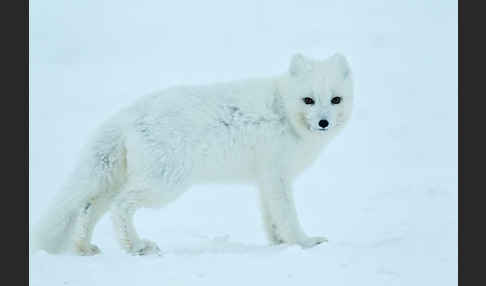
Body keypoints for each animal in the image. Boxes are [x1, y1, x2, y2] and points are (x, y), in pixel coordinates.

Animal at [32, 53, 356, 255]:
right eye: (308, 100)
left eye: (336, 100)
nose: (323, 123)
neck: (284, 112)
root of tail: (129, 113)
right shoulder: (277, 176)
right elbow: (287, 216)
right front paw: (305, 244)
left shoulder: (265, 179)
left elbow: (272, 219)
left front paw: (278, 244)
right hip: (164, 185)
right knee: (120, 206)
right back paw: (136, 247)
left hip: (119, 180)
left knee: (88, 208)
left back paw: (85, 248)